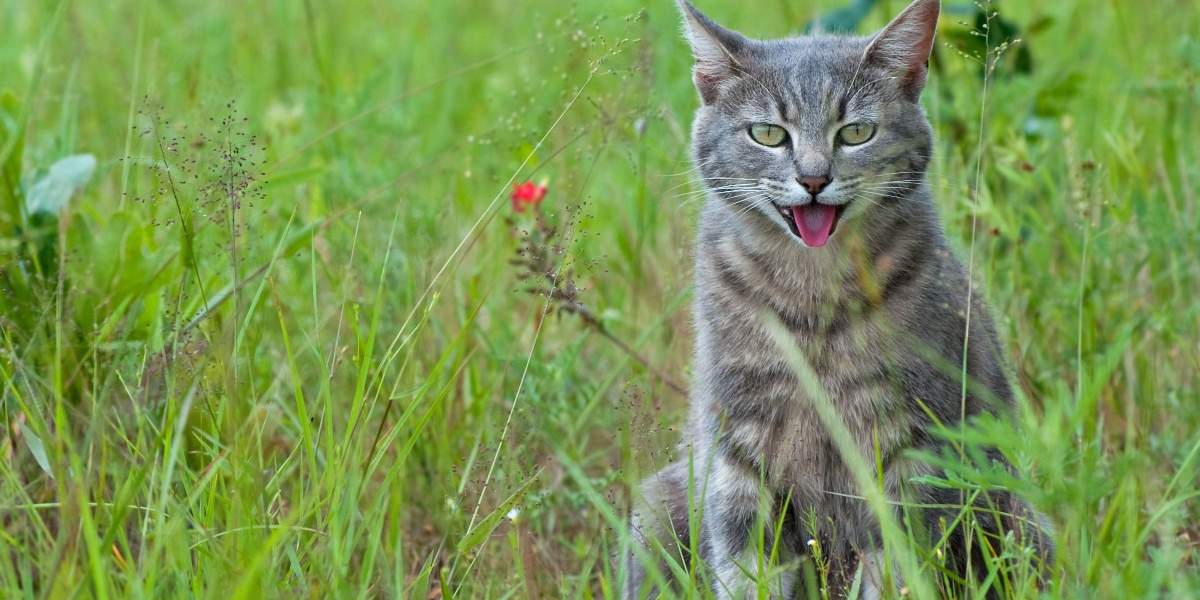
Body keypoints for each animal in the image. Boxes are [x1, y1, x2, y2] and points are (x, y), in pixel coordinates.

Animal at [624, 2, 1056, 597]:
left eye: (855, 132)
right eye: (767, 133)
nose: (813, 179)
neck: (813, 296)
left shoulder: (909, 449)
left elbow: (897, 568)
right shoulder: (739, 451)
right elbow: (747, 569)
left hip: (1019, 521)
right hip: (656, 509)